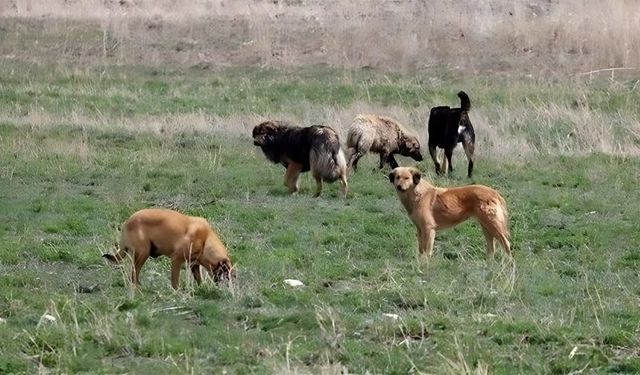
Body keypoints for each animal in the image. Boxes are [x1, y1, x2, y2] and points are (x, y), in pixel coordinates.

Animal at [102, 209, 235, 290]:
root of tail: (127, 222)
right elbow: (175, 280)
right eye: (225, 273)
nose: (224, 286)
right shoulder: (176, 260)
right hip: (143, 253)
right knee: (133, 273)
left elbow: (199, 280)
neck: (205, 239)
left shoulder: (194, 265)